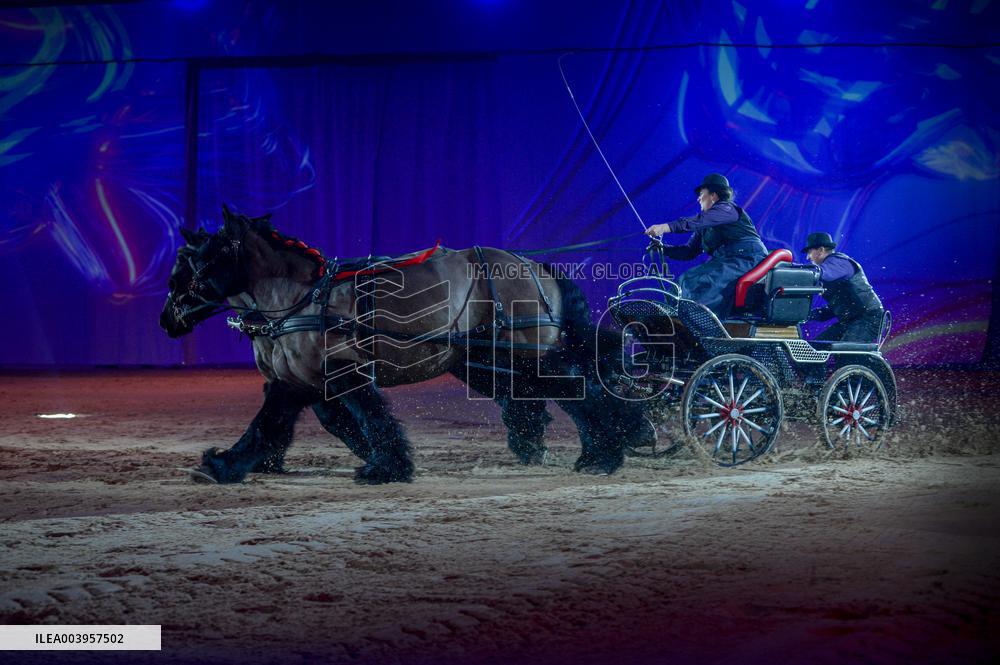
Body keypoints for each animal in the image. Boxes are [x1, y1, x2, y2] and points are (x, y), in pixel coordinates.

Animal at [159, 206, 657, 484]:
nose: (167, 319)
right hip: (493, 360)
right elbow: (272, 425)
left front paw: (386, 467)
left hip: (525, 357)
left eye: (198, 263)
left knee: (579, 393)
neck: (300, 297)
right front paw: (227, 465)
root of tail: (534, 266)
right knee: (556, 398)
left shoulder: (342, 371)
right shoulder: (295, 380)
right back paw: (590, 450)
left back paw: (607, 452)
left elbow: (371, 419)